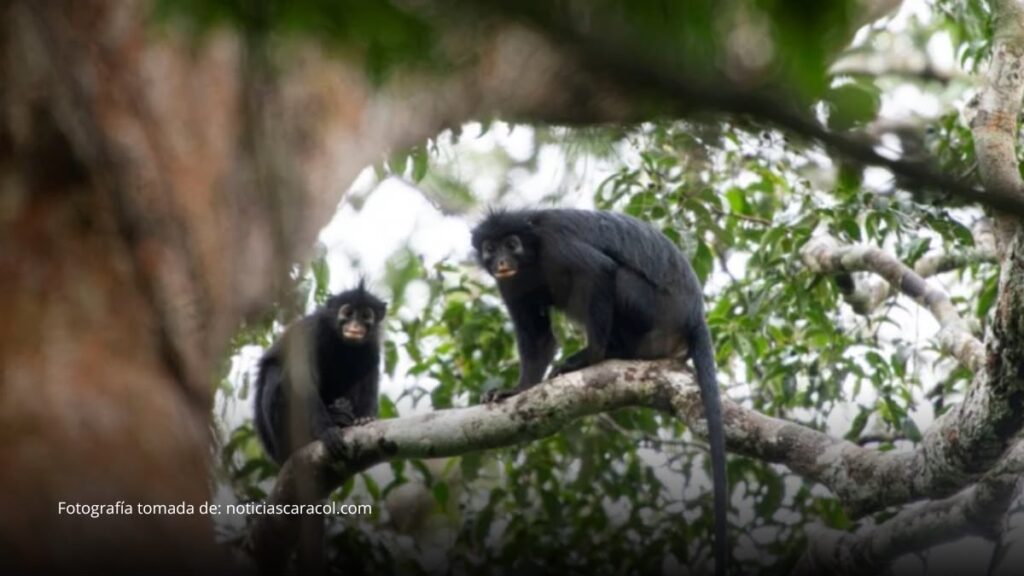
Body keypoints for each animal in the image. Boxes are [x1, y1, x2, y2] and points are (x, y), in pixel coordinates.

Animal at [253, 282, 386, 465]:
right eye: (348, 313)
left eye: (365, 315)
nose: (355, 326)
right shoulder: (311, 332)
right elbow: (302, 381)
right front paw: (326, 431)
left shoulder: (371, 346)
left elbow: (368, 378)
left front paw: (365, 417)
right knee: (274, 372)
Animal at [471, 208, 728, 576]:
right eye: (491, 248)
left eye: (512, 243)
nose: (503, 260)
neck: (532, 254)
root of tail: (694, 314)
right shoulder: (510, 282)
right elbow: (538, 339)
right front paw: (514, 391)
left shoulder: (556, 243)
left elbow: (599, 271)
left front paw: (590, 357)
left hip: (653, 310)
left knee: (616, 276)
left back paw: (608, 352)